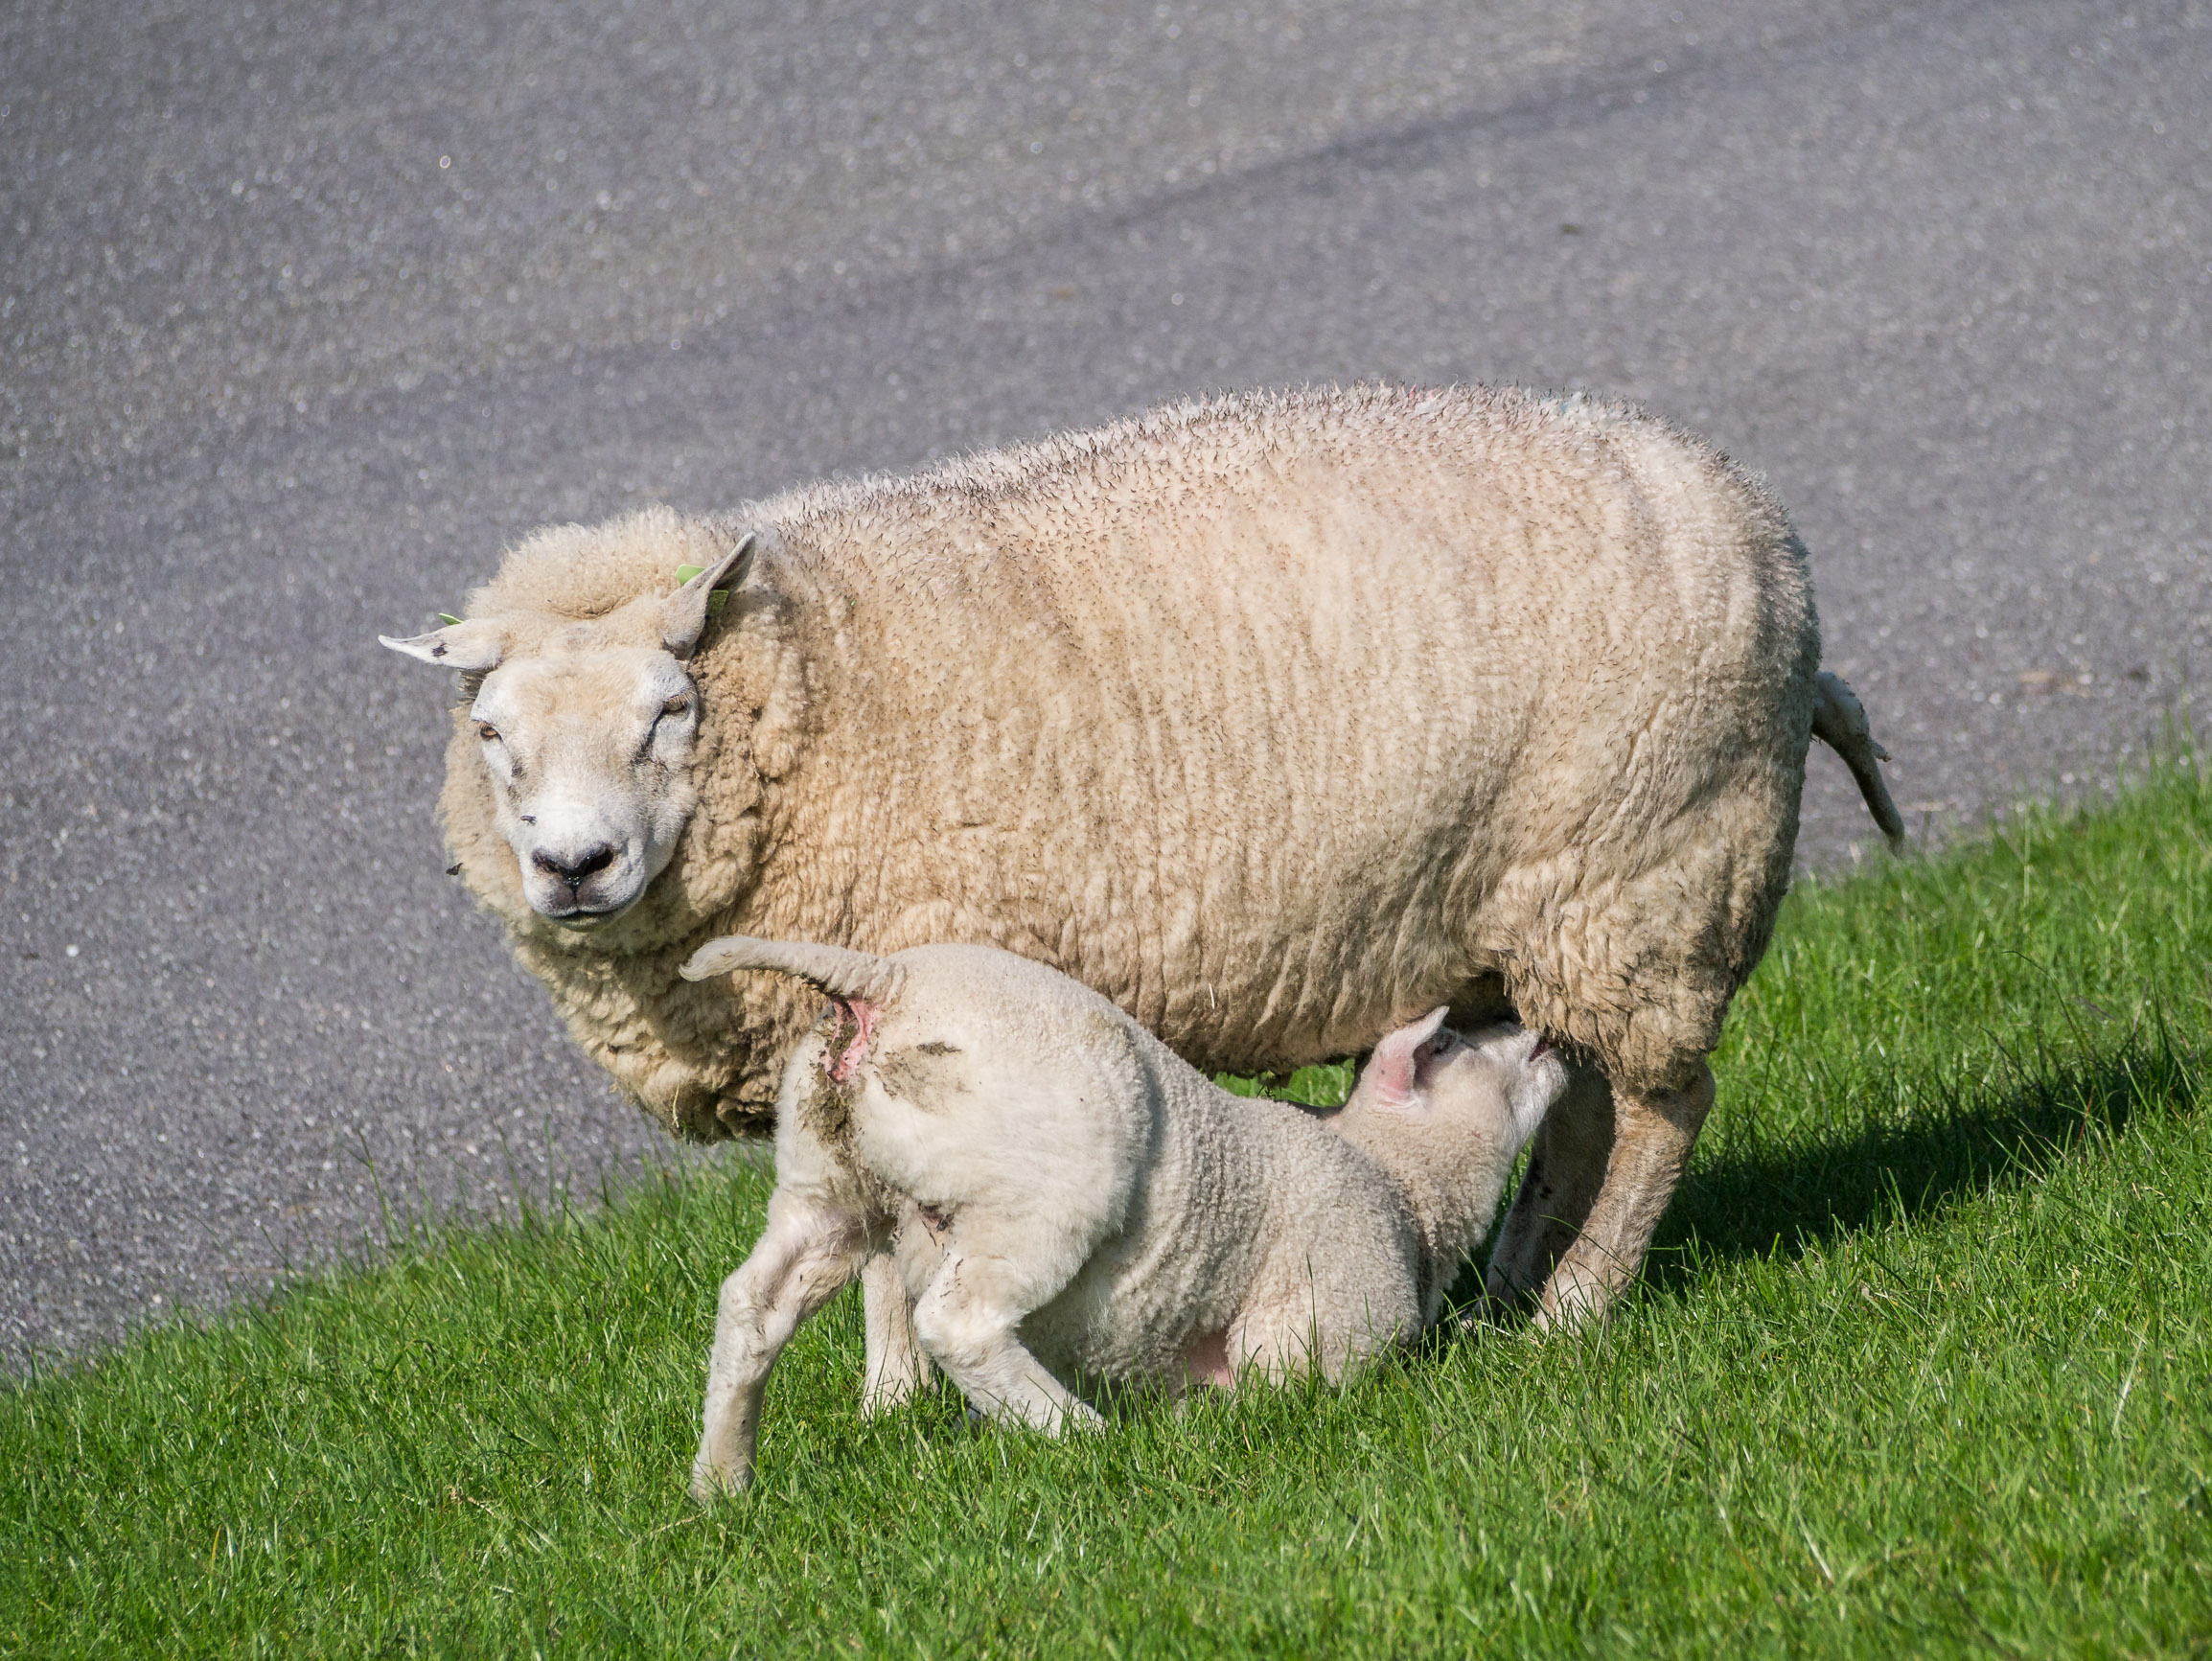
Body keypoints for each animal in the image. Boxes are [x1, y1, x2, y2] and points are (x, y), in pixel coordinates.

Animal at [379, 383, 1905, 1342]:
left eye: (668, 713)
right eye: (492, 733)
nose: (573, 865)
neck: (820, 681)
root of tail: (1751, 515)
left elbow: (900, 1251)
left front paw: (908, 1385)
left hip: (1651, 869)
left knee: (1660, 1106)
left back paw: (1576, 1310)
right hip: (1538, 909)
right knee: (1580, 1102)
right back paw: (1507, 1289)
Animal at [677, 933, 1568, 1499]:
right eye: (1448, 1045)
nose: (1541, 1033)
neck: (1399, 1181)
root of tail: (883, 981)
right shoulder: (1319, 1319)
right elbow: (1277, 1383)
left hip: (829, 1184)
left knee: (754, 1304)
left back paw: (722, 1484)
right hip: (1039, 1193)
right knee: (959, 1324)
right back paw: (1083, 1437)